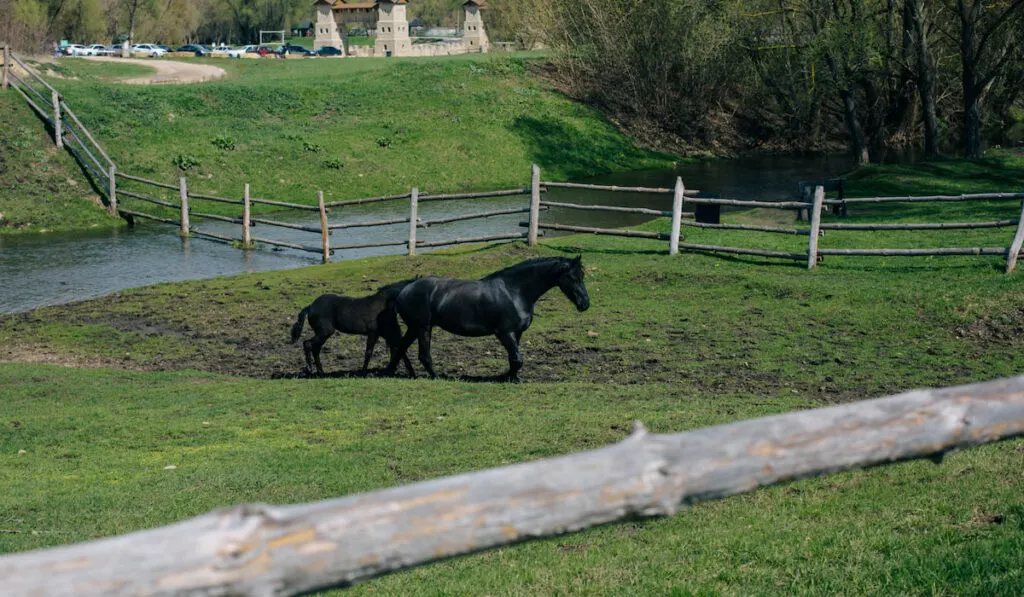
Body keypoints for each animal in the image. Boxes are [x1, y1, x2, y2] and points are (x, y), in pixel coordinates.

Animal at [385, 257, 593, 382]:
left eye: (582, 276)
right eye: (572, 277)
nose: (585, 304)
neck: (514, 291)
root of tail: (404, 289)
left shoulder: (516, 333)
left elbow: (514, 358)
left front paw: (510, 378)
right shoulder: (504, 333)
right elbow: (517, 359)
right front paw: (508, 378)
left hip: (414, 328)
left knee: (400, 349)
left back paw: (389, 373)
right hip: (423, 328)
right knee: (423, 355)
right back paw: (436, 377)